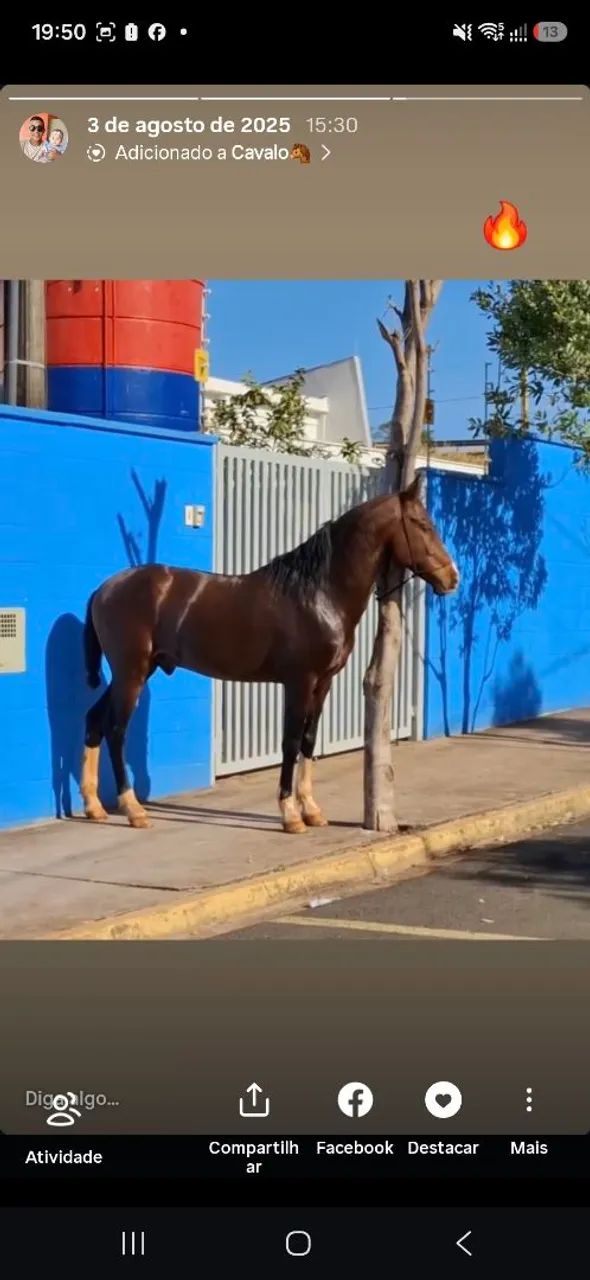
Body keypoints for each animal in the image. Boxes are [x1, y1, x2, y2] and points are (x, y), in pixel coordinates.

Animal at [79, 476, 459, 834]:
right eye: (422, 524)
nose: (452, 578)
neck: (318, 593)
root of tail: (104, 588)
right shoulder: (299, 681)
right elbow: (290, 741)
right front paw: (290, 815)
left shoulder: (323, 682)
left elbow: (308, 740)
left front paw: (312, 811)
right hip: (132, 672)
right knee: (116, 730)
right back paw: (133, 810)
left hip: (134, 672)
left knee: (95, 720)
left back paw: (94, 807)